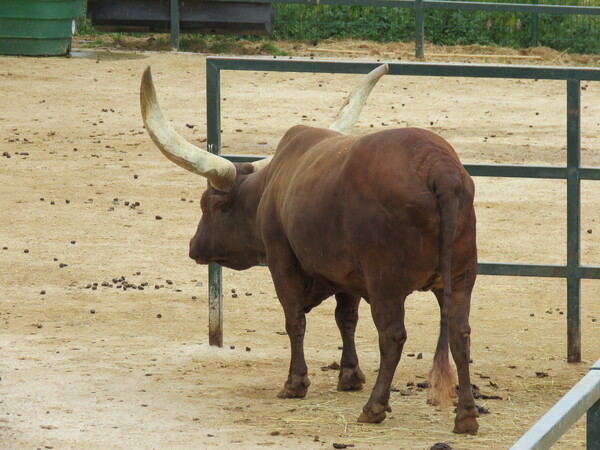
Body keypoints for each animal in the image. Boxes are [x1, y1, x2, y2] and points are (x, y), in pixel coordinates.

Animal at [139, 65, 478, 434]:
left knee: (392, 337)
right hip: (461, 278)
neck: (271, 186)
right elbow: (346, 318)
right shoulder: (347, 274)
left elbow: (294, 320)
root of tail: (438, 169)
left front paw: (295, 383)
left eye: (206, 204)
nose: (193, 246)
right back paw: (466, 416)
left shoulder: (282, 261)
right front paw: (349, 375)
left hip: (386, 283)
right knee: (460, 335)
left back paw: (374, 407)